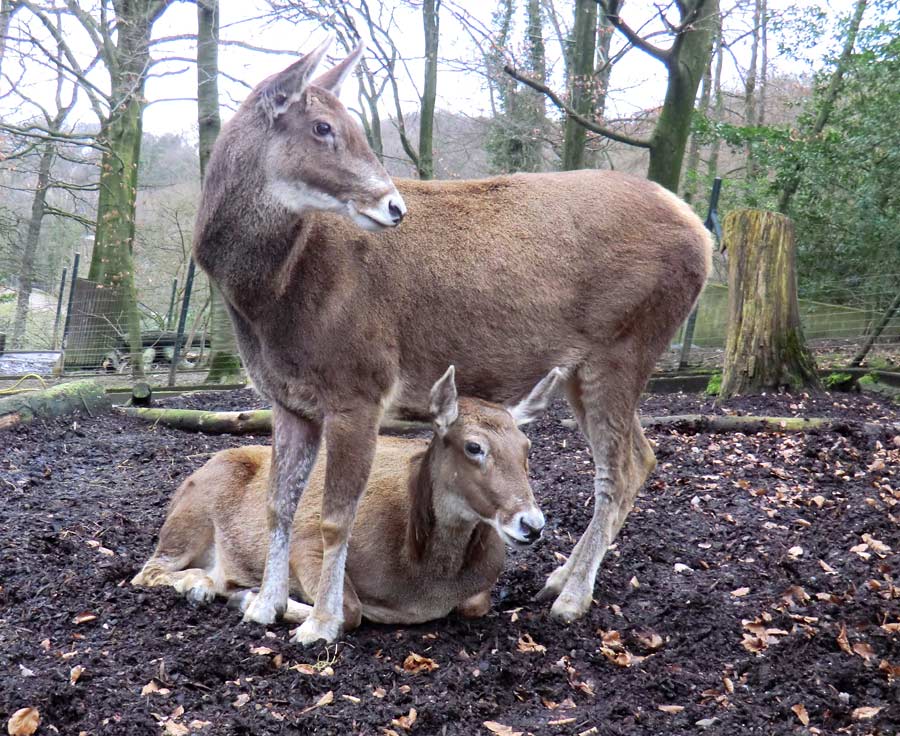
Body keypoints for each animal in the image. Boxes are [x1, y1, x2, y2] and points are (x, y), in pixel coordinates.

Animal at [133, 368, 556, 628]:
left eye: (526, 446)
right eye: (474, 446)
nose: (532, 524)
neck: (425, 583)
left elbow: (476, 604)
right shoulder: (306, 540)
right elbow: (349, 610)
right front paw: (253, 601)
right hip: (192, 514)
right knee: (147, 570)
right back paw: (201, 585)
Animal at [193, 38, 712, 644]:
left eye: (350, 123)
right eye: (322, 126)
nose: (394, 206)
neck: (268, 301)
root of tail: (704, 235)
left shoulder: (360, 384)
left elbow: (334, 515)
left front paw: (320, 624)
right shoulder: (288, 398)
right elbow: (280, 502)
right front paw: (264, 605)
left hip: (624, 345)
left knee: (621, 466)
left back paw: (573, 598)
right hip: (583, 370)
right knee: (644, 453)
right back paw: (560, 577)